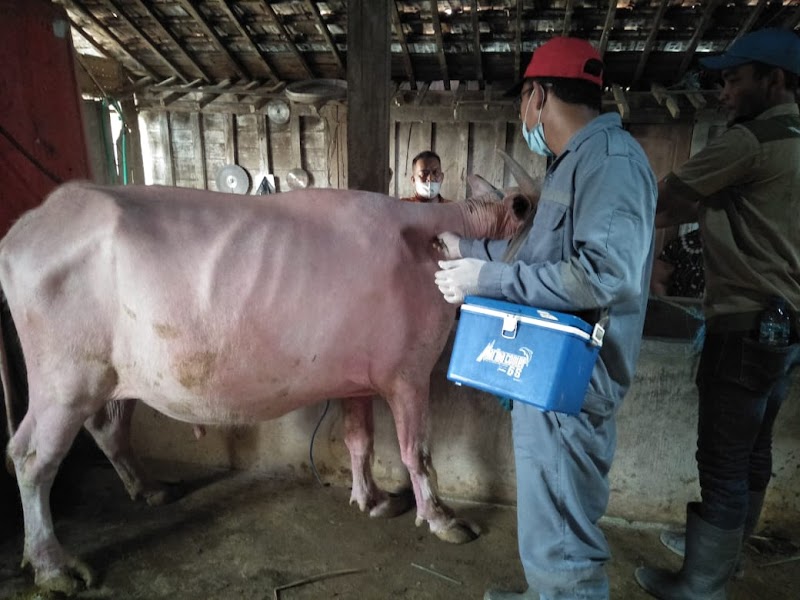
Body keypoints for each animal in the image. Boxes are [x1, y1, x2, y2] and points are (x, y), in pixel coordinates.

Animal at [0, 172, 536, 592]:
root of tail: (34, 222)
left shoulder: (357, 379)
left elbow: (360, 440)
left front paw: (373, 500)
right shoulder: (408, 373)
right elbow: (416, 452)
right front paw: (442, 519)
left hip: (111, 376)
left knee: (108, 429)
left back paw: (150, 489)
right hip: (63, 380)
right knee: (30, 458)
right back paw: (52, 566)